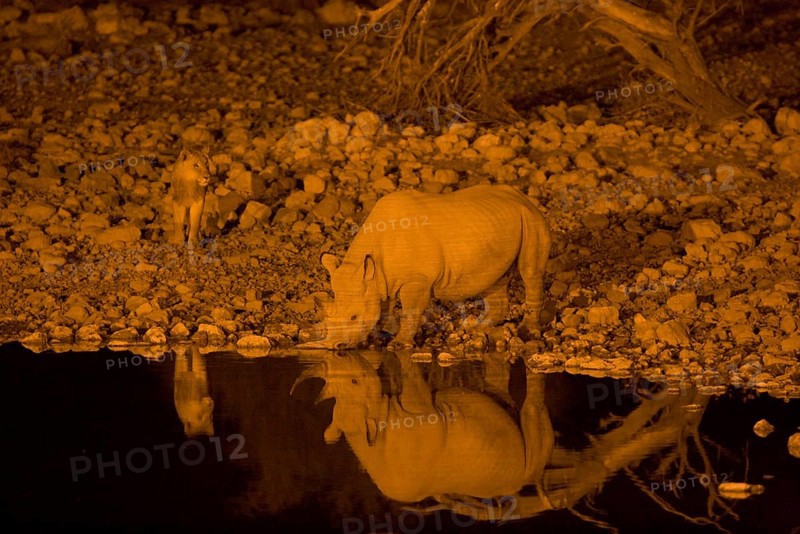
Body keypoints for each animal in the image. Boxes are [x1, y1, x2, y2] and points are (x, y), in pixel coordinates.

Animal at [299, 184, 551, 349]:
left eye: (353, 317)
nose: (334, 346)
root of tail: (522, 197)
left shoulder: (417, 280)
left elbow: (410, 310)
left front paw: (399, 345)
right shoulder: (380, 280)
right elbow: (384, 307)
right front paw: (381, 336)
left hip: (531, 219)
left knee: (530, 273)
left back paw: (527, 332)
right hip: (499, 224)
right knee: (494, 279)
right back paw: (478, 330)